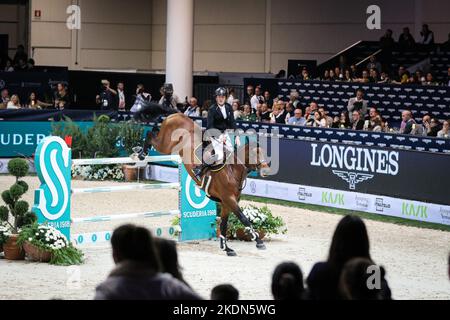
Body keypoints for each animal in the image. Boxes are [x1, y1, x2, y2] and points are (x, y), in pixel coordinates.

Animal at [135, 104, 270, 256]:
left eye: (263, 152)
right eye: (254, 153)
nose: (266, 171)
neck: (233, 171)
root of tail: (177, 114)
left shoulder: (226, 203)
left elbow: (224, 225)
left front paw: (226, 248)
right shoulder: (229, 199)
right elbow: (244, 219)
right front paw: (259, 242)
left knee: (154, 130)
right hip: (166, 145)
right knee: (151, 134)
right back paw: (141, 152)